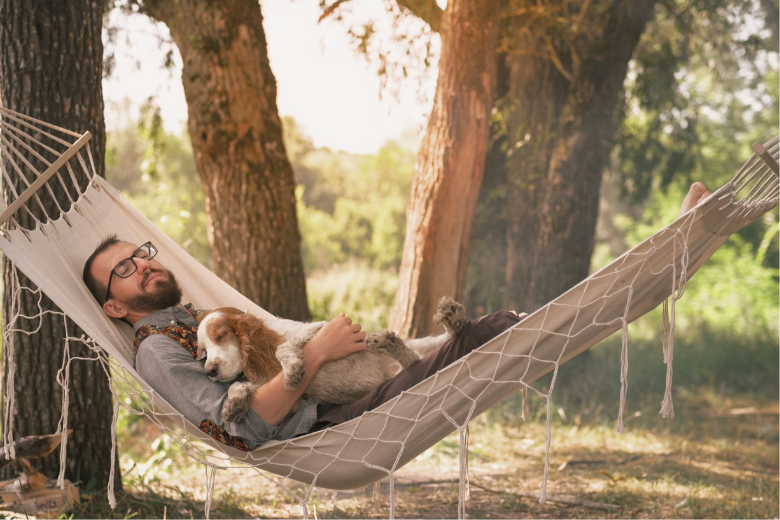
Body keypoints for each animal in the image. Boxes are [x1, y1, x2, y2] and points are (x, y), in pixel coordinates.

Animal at [198, 296, 470, 422]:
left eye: (220, 336)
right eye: (202, 352)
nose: (209, 371)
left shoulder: (320, 327)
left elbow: (286, 347)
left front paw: (293, 370)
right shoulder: (294, 402)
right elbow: (238, 384)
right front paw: (234, 405)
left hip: (424, 346)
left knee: (449, 336)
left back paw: (451, 316)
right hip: (412, 361)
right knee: (412, 359)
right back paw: (387, 340)